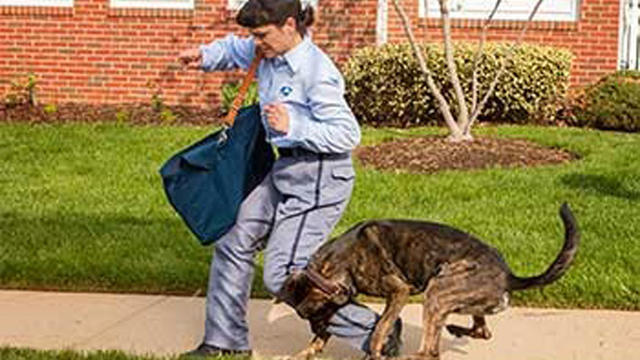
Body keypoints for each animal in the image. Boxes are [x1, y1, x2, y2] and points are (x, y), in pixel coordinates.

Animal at [280, 204, 580, 358]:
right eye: (304, 315)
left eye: (313, 312)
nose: (314, 329)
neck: (340, 257)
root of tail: (509, 275)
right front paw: (309, 350)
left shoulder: (398, 291)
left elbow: (381, 326)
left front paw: (375, 348)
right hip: (456, 296)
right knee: (480, 331)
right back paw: (457, 329)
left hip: (437, 291)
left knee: (429, 352)